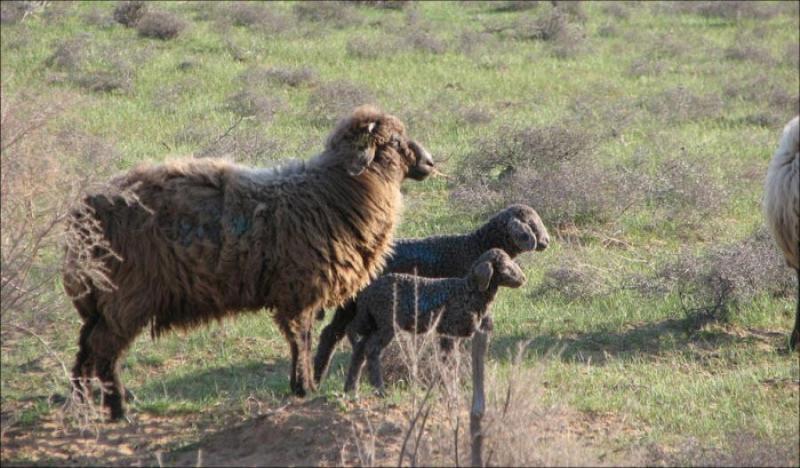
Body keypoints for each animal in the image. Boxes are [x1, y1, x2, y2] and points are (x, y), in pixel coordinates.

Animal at [62, 106, 434, 420]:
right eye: (395, 141)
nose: (430, 162)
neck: (334, 193)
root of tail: (81, 213)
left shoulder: (296, 294)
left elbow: (300, 339)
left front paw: (300, 385)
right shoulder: (299, 291)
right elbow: (301, 339)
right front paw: (306, 387)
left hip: (98, 301)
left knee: (85, 349)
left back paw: (82, 405)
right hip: (125, 296)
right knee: (105, 351)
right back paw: (117, 409)